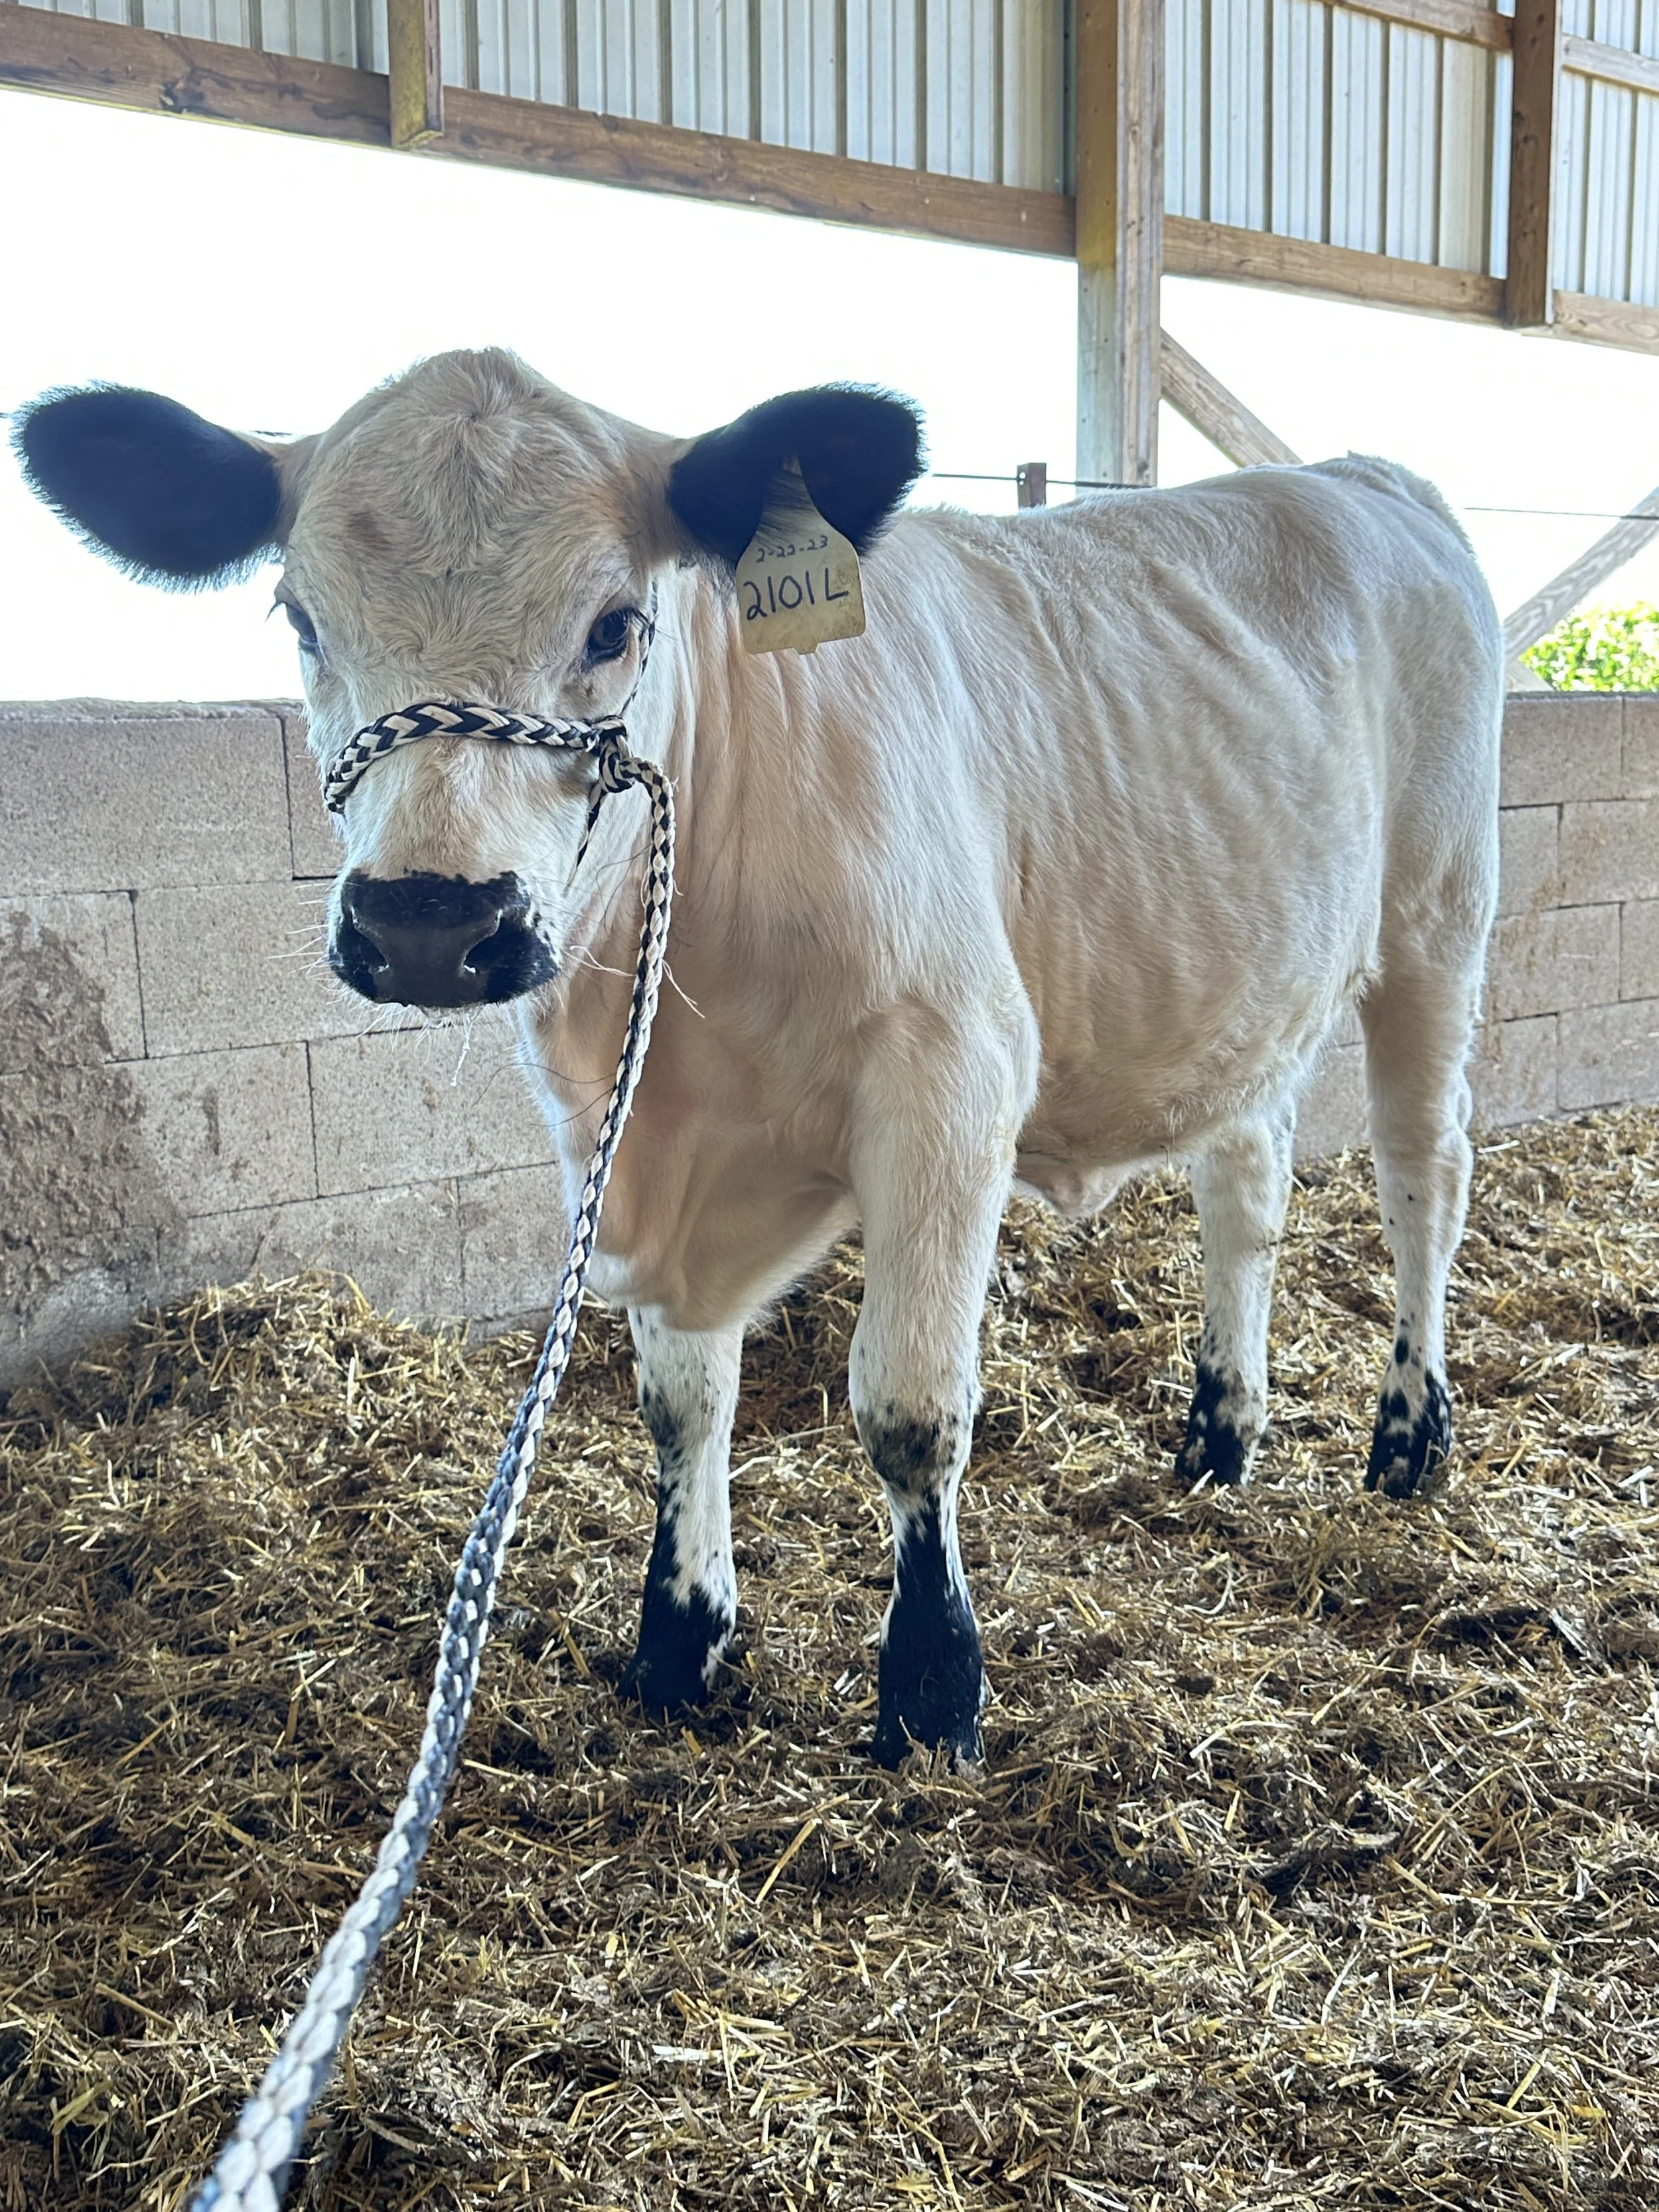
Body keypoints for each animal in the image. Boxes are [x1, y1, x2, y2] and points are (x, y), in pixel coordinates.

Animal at [13, 352, 1501, 1765]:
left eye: (615, 624)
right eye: (302, 620)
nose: (430, 920)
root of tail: (1360, 477)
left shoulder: (951, 1075)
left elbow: (909, 1406)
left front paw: (932, 1693)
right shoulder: (622, 1139)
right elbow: (681, 1397)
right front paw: (678, 1638)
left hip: (1435, 922)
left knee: (1422, 1171)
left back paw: (1408, 1438)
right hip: (1244, 991)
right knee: (1245, 1193)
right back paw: (1217, 1434)